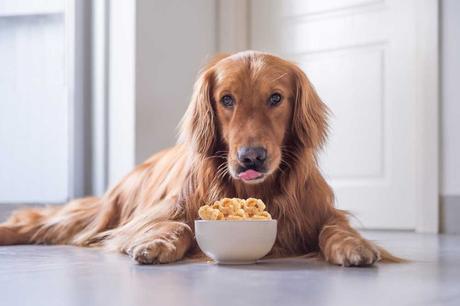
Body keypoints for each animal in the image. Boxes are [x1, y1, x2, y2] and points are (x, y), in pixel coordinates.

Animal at [0, 50, 398, 266]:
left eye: (276, 98)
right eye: (226, 99)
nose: (251, 158)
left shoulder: (321, 211)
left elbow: (335, 228)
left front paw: (354, 246)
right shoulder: (159, 213)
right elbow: (178, 225)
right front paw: (157, 245)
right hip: (102, 213)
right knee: (43, 223)